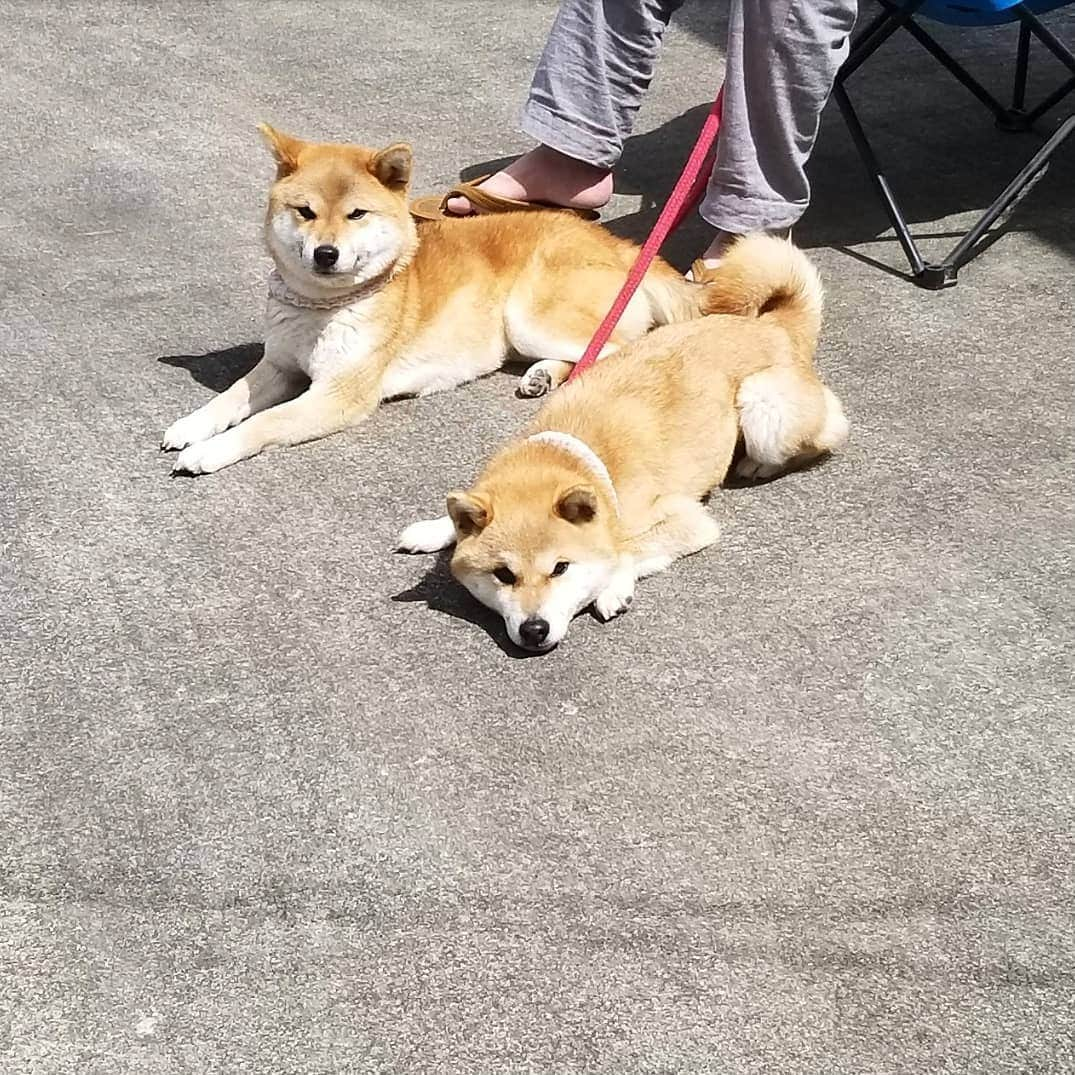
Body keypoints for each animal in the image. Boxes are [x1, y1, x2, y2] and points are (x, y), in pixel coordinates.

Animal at [161, 124, 722, 470]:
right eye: (304, 211)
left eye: (356, 214)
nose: (325, 253)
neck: (321, 308)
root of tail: (625, 247)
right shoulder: (278, 365)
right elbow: (229, 397)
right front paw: (191, 426)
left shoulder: (339, 394)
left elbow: (264, 423)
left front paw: (209, 452)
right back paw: (543, 377)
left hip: (529, 315)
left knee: (615, 350)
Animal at [397, 235, 847, 649]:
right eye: (503, 575)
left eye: (560, 568)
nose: (534, 630)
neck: (575, 457)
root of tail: (770, 324)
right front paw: (434, 529)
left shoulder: (688, 520)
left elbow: (628, 548)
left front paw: (614, 585)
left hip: (762, 406)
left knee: (828, 431)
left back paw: (759, 464)